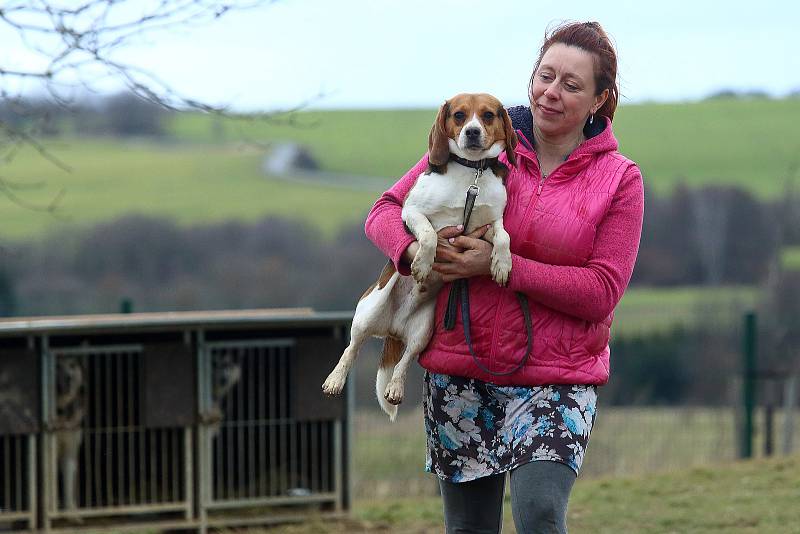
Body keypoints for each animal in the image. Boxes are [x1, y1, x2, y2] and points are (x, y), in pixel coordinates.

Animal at [322, 94, 516, 420]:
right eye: (459, 115)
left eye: (488, 115)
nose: (472, 132)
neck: (471, 173)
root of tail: (393, 328)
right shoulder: (412, 211)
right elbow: (429, 235)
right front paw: (423, 264)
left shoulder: (489, 224)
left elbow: (504, 237)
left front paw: (502, 264)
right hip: (368, 311)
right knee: (352, 348)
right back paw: (335, 379)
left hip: (424, 331)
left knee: (404, 361)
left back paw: (396, 387)